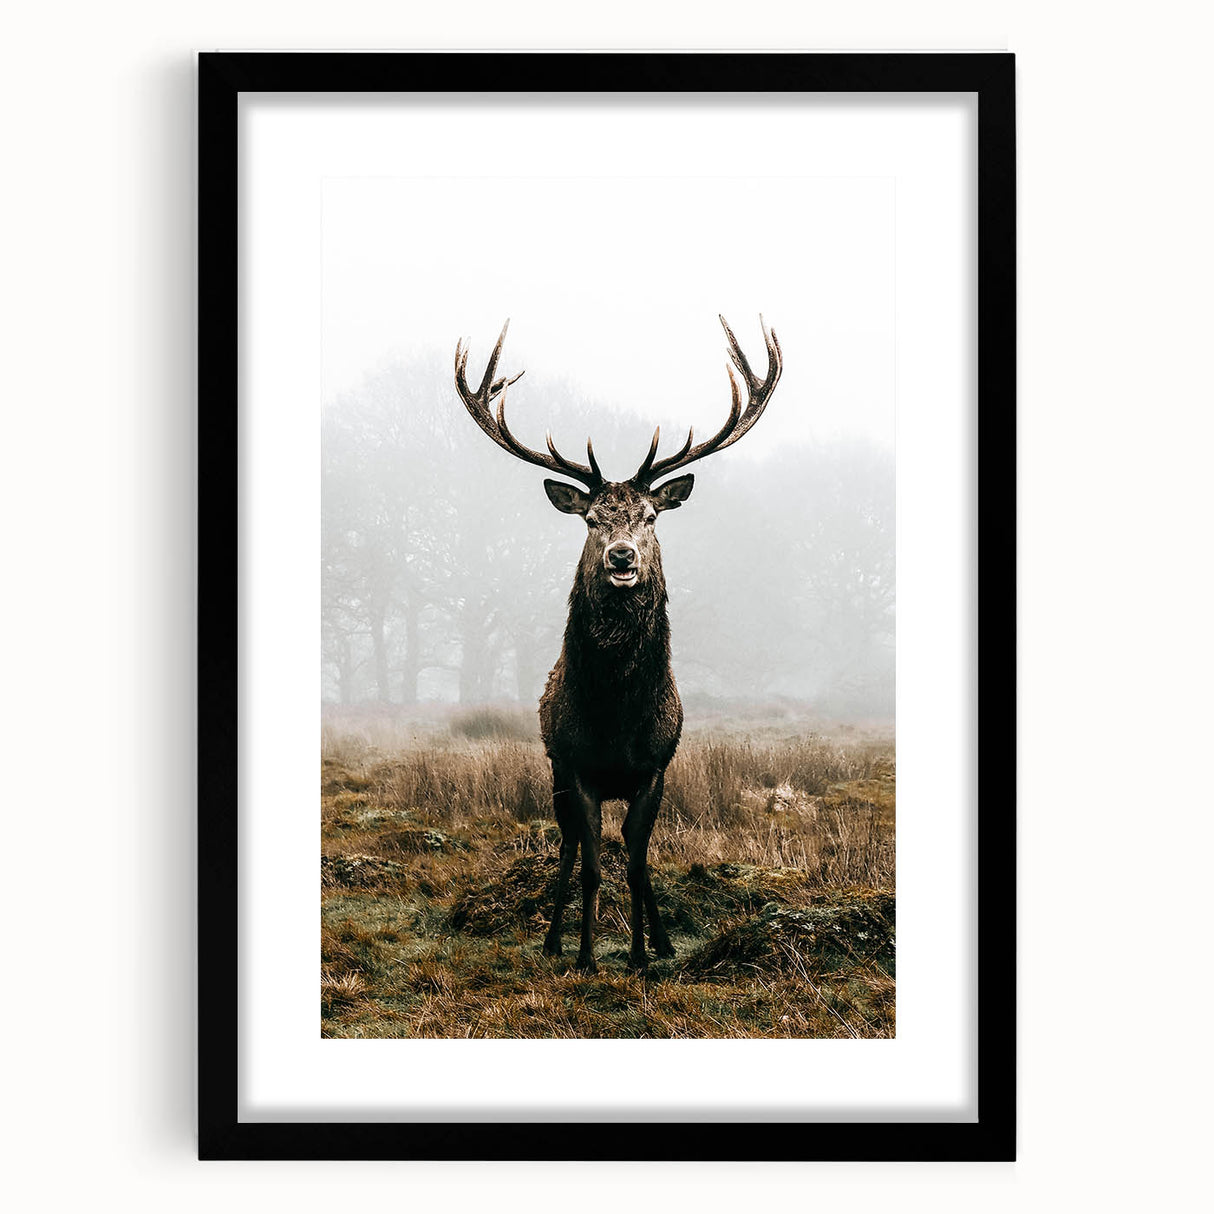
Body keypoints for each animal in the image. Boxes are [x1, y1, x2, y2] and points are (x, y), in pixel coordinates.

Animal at [454, 316, 782, 974]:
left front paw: (639, 955)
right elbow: (590, 865)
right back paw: (555, 939)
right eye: (591, 520)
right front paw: (585, 955)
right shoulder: (577, 766)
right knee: (567, 848)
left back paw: (660, 939)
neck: (615, 716)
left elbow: (635, 861)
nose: (622, 557)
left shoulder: (654, 769)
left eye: (651, 516)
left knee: (634, 856)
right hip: (554, 772)